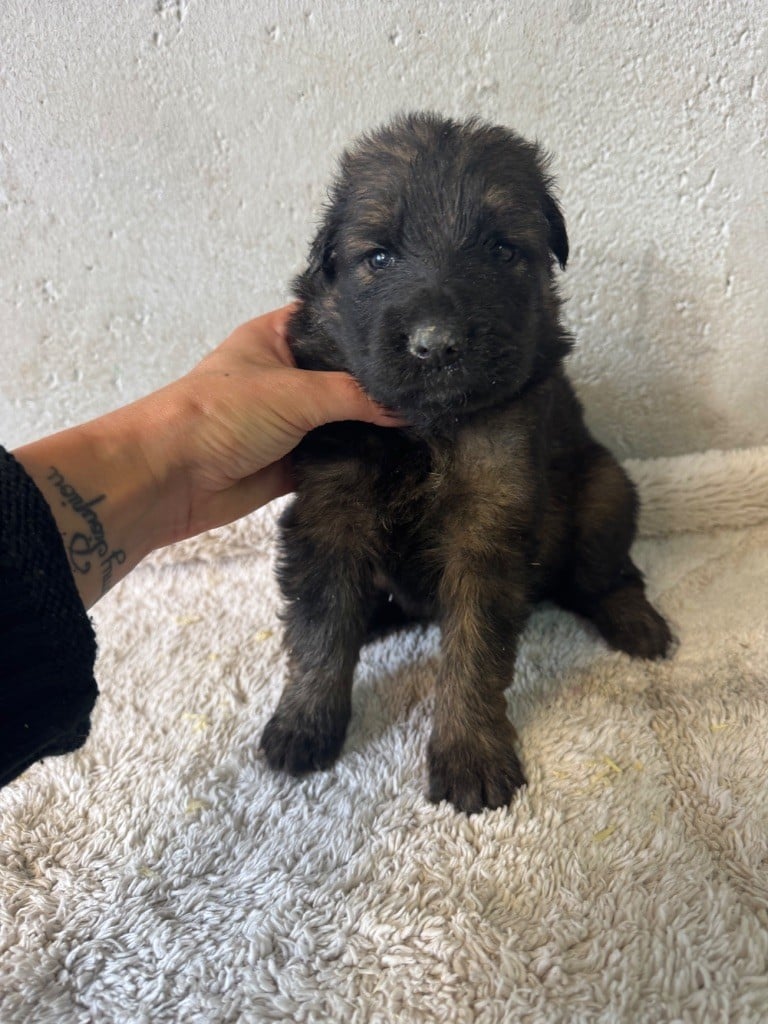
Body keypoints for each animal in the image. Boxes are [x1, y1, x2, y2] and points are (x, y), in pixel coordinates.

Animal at [260, 112, 673, 814]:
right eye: (379, 256)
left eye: (502, 251)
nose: (437, 345)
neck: (423, 429)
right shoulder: (330, 507)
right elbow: (320, 627)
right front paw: (304, 722)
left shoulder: (490, 520)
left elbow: (474, 651)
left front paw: (470, 754)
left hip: (605, 490)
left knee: (607, 574)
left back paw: (637, 623)